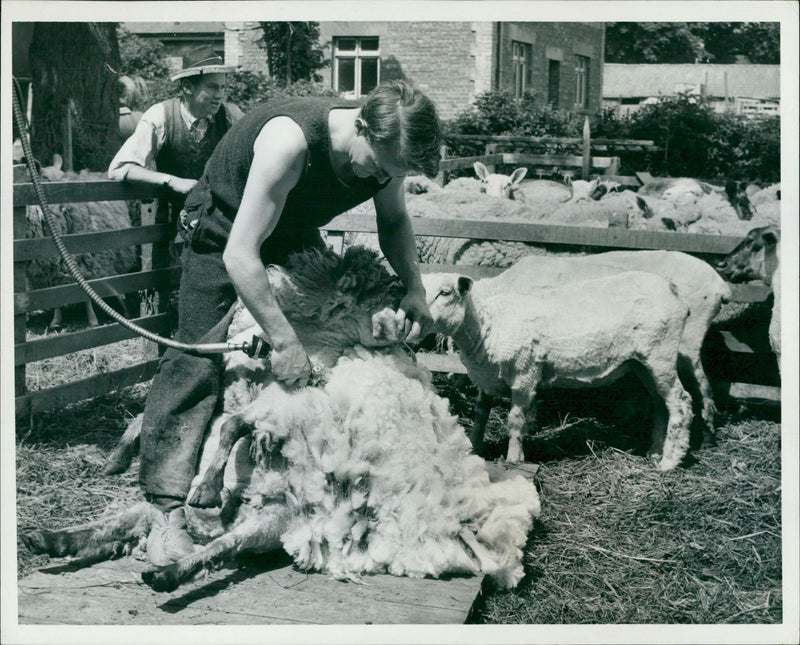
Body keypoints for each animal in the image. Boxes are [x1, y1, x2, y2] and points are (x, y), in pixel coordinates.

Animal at [422, 270, 692, 470]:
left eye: (445, 292)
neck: (489, 327)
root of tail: (674, 291)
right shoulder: (486, 379)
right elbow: (480, 415)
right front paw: (473, 447)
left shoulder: (525, 376)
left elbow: (515, 422)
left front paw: (514, 459)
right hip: (643, 363)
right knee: (661, 404)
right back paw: (655, 452)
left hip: (661, 354)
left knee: (681, 402)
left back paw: (670, 461)